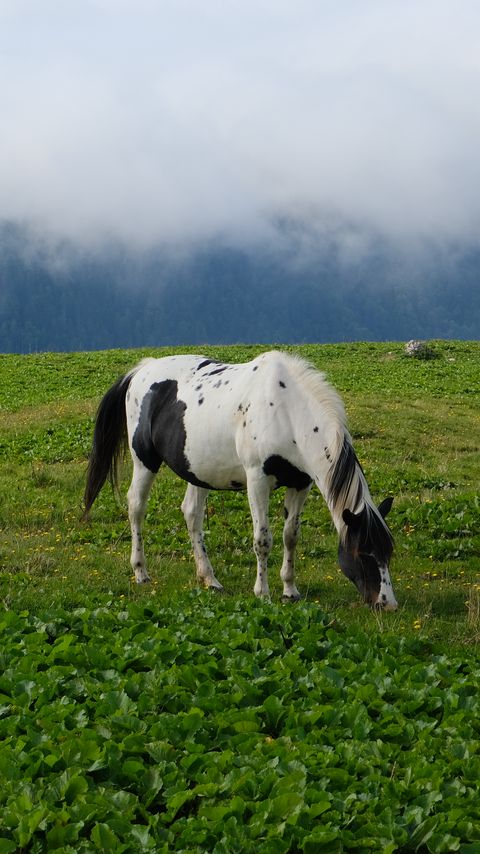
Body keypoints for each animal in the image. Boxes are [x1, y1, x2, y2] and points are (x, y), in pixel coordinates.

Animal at [83, 352, 398, 612]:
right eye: (363, 552)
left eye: (388, 552)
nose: (387, 603)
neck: (286, 411)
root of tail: (143, 369)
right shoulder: (257, 479)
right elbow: (263, 539)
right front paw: (263, 592)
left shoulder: (301, 484)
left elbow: (290, 536)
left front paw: (290, 590)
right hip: (144, 462)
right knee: (136, 507)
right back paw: (141, 572)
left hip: (197, 471)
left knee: (192, 514)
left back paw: (209, 579)